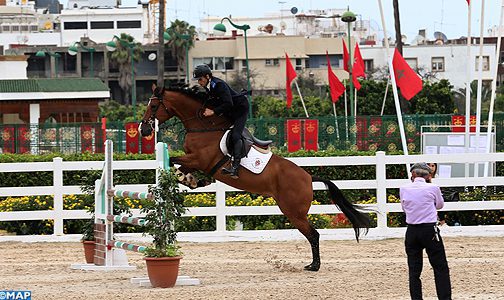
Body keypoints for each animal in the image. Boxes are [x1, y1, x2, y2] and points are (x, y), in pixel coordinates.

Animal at [140, 85, 372, 272]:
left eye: (154, 106)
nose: (143, 129)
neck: (204, 125)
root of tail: (308, 176)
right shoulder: (195, 161)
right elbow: (180, 167)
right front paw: (194, 180)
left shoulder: (200, 159)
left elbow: (175, 162)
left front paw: (189, 178)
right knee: (312, 234)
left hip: (293, 211)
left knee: (313, 235)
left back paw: (314, 266)